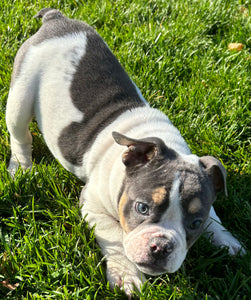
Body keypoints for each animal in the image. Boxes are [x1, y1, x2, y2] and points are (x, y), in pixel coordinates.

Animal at [5, 8, 245, 296]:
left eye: (195, 223)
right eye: (142, 208)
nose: (161, 247)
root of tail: (56, 19)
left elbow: (213, 215)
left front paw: (226, 239)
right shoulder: (93, 205)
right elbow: (116, 238)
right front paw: (126, 275)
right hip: (21, 93)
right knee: (20, 135)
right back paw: (21, 168)